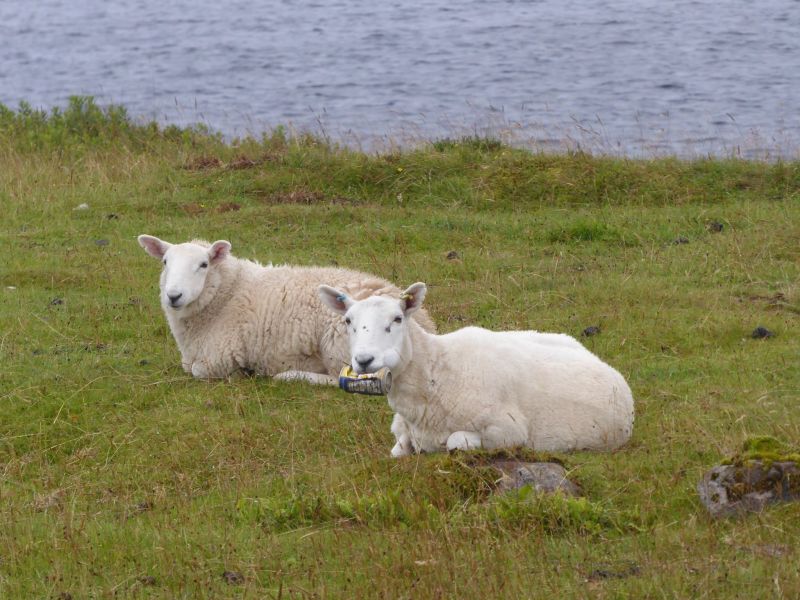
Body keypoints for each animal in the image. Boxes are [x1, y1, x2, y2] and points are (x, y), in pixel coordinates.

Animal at [138, 236, 438, 384]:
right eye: (165, 262)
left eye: (203, 264)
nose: (173, 296)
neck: (226, 293)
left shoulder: (219, 358)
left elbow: (197, 371)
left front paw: (243, 373)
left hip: (340, 344)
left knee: (346, 378)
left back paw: (291, 376)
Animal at [316, 282, 636, 454]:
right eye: (348, 321)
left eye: (397, 319)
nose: (364, 360)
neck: (438, 369)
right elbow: (399, 449)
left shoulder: (507, 432)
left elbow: (456, 442)